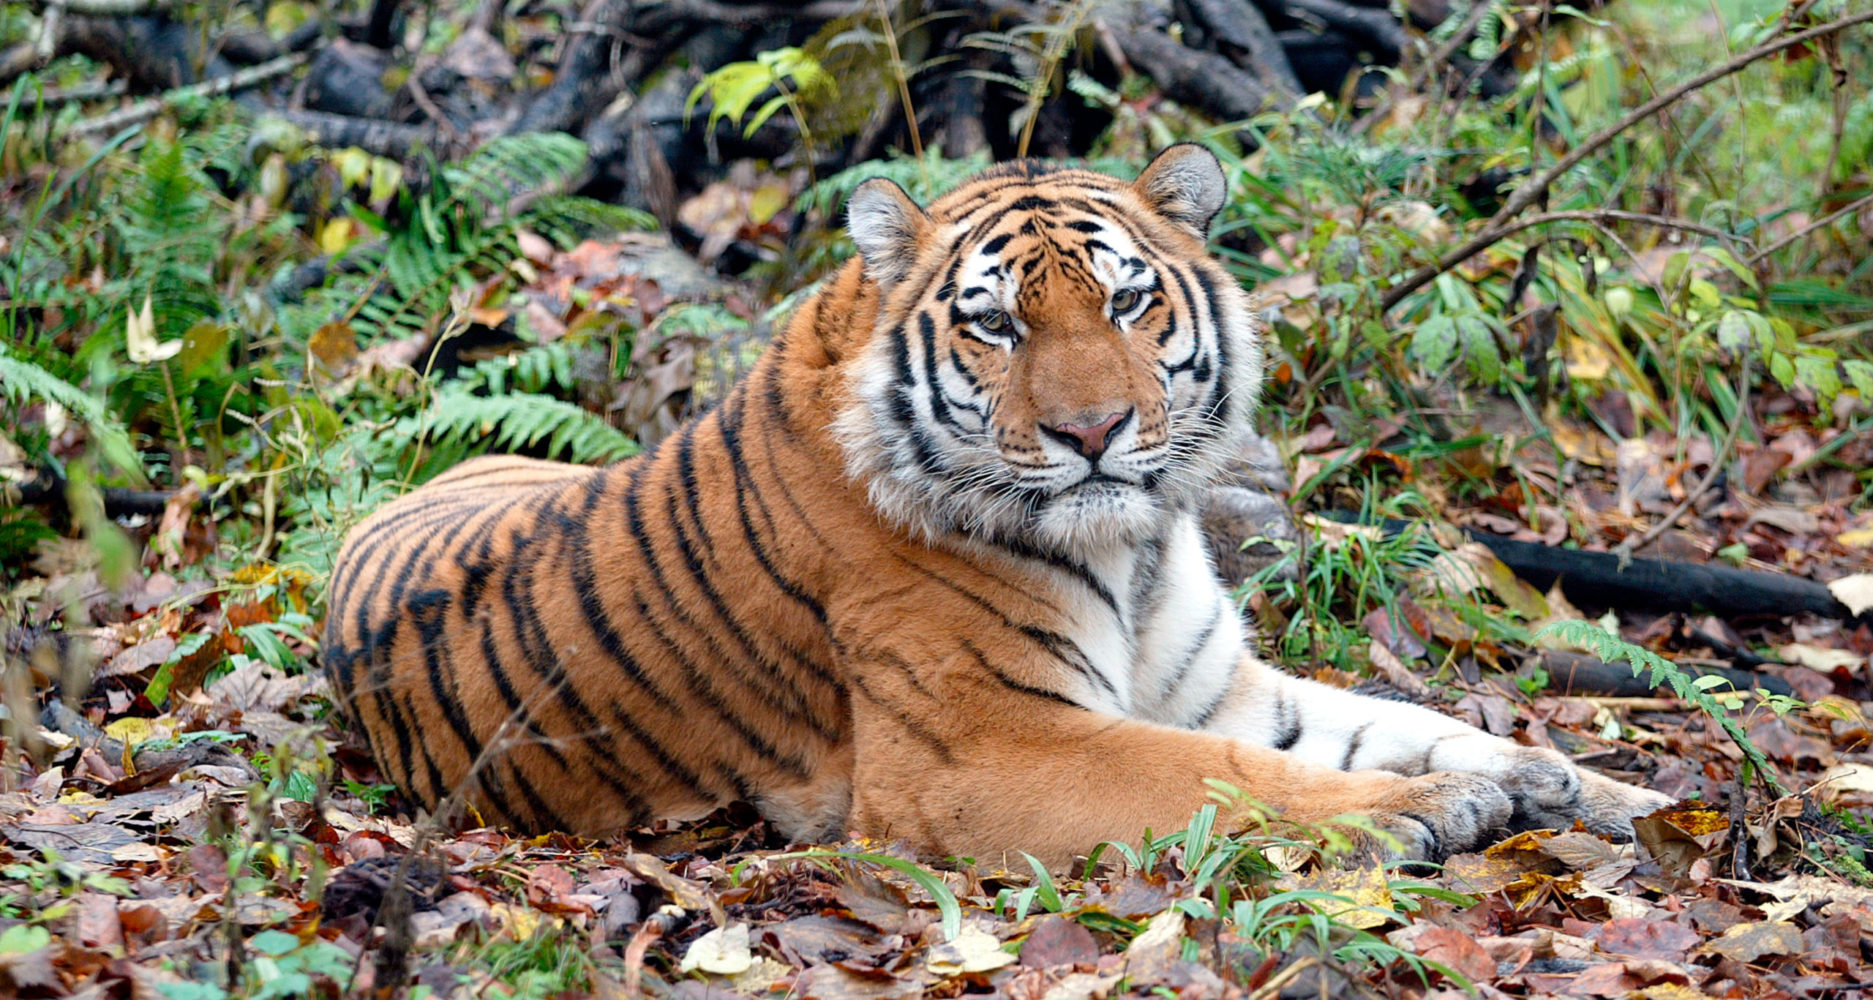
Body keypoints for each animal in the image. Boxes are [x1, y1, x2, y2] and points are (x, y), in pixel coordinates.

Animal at [322, 143, 1670, 868]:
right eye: (996, 324)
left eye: (1126, 302)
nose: (1092, 432)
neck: (1133, 547)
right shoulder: (987, 749)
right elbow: (1224, 778)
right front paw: (1429, 811)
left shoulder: (1217, 688)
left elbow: (1414, 722)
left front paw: (1597, 791)